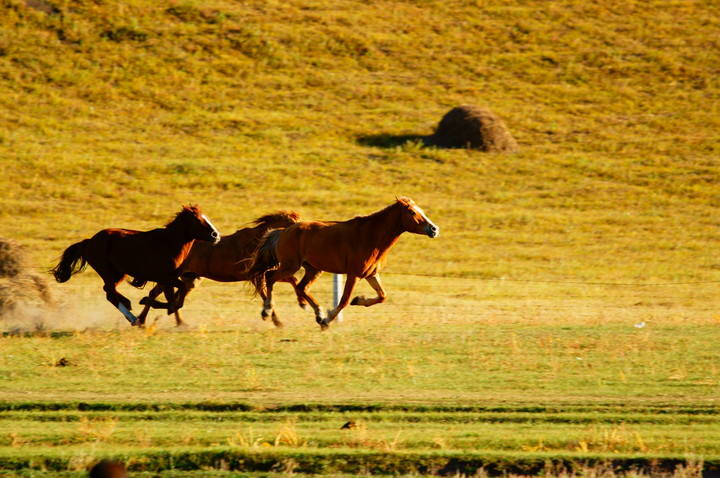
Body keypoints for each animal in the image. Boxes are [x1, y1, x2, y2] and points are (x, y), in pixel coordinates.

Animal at [51, 205, 219, 324]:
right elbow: (174, 300)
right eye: (197, 220)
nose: (216, 235)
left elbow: (175, 297)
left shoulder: (168, 280)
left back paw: (128, 305)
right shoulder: (166, 279)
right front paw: (149, 304)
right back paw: (134, 319)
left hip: (119, 273)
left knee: (109, 291)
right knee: (111, 295)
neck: (169, 244)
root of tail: (89, 241)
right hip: (106, 271)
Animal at [136, 211, 306, 326]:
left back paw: (173, 321)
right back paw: (143, 320)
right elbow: (267, 295)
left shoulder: (262, 273)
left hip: (191, 278)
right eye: (294, 224)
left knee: (171, 297)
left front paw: (301, 303)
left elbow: (292, 280)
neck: (258, 242)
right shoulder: (256, 275)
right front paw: (274, 319)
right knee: (157, 294)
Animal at [248, 197, 438, 328]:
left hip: (312, 269)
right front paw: (327, 320)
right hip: (290, 266)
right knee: (270, 277)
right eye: (412, 212)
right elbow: (344, 299)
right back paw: (267, 311)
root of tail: (283, 231)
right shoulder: (353, 274)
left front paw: (358, 300)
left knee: (301, 287)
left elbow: (382, 296)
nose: (434, 229)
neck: (371, 237)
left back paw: (317, 313)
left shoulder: (370, 274)